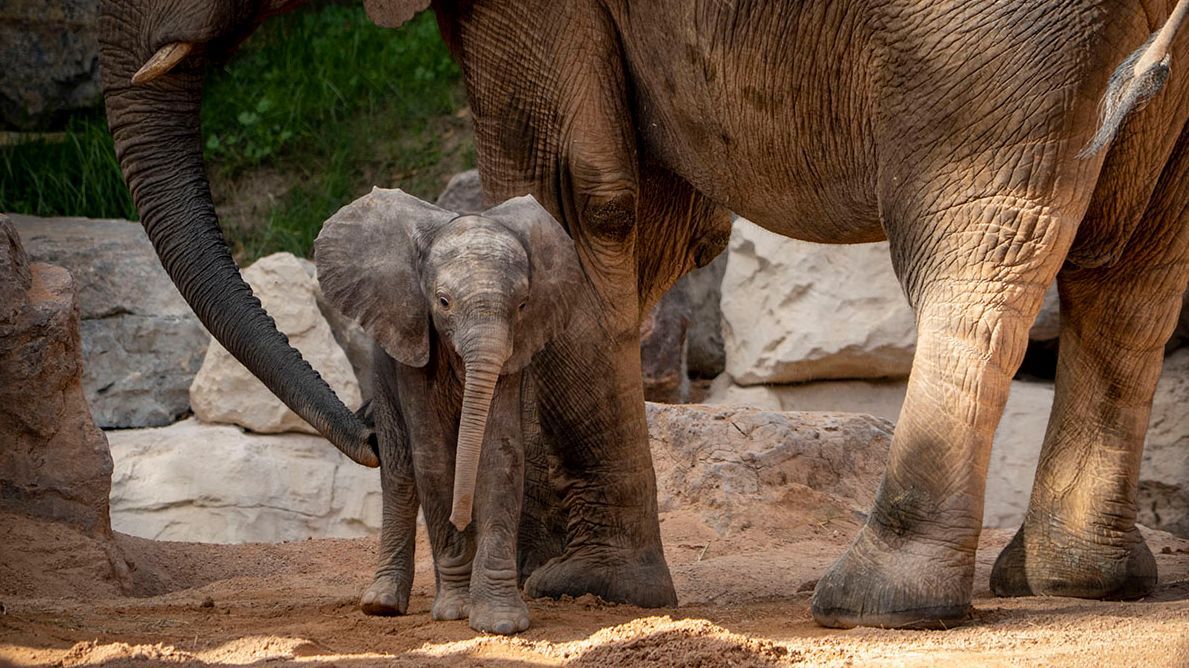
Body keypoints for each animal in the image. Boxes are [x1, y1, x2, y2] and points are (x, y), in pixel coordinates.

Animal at [313, 188, 581, 634]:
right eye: (442, 302)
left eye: (523, 305)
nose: (460, 519)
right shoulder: (412, 347)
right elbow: (434, 459)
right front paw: (456, 610)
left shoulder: (513, 357)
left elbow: (499, 456)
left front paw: (500, 622)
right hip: (382, 373)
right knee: (400, 474)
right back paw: (382, 604)